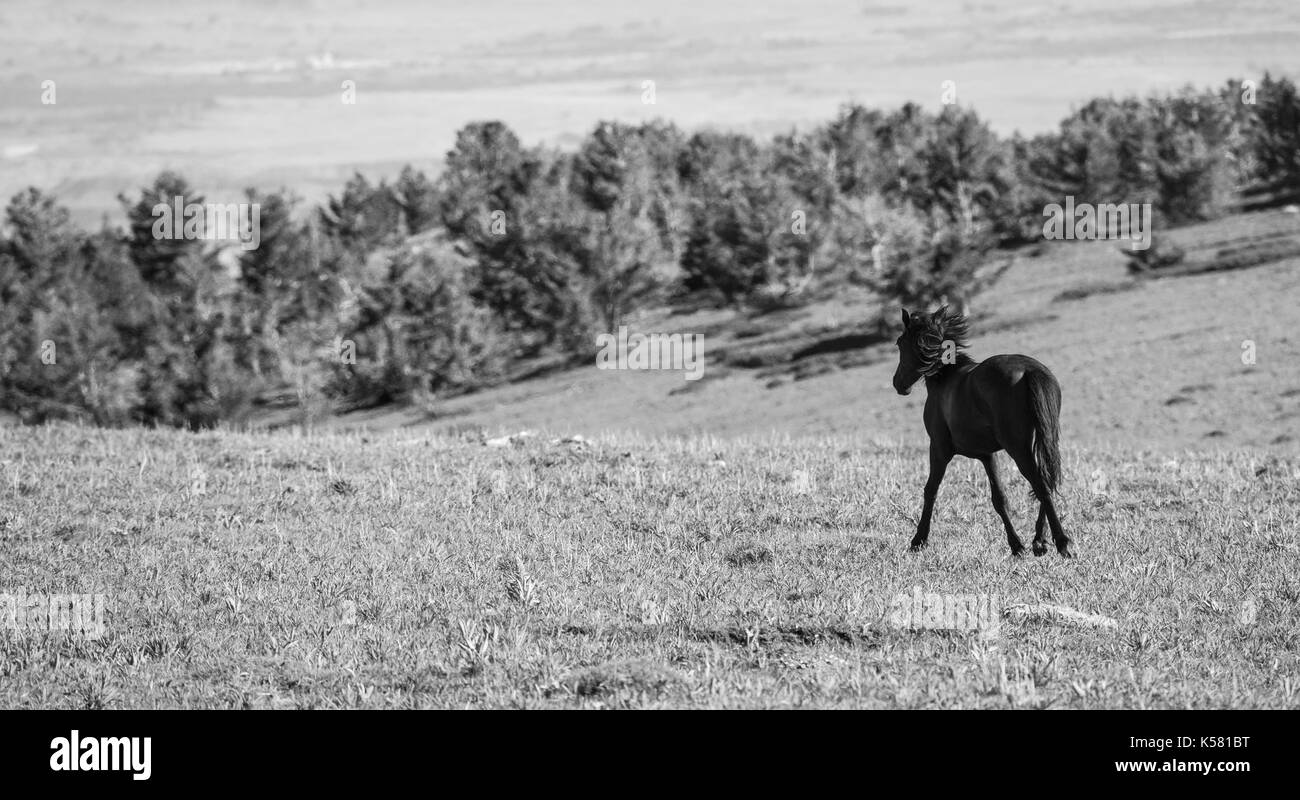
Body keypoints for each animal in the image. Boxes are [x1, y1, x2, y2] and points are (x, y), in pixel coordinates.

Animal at [892, 306, 1073, 558]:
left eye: (900, 343)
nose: (898, 383)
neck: (945, 379)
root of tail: (1030, 371)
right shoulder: (988, 455)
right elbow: (999, 499)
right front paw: (1016, 545)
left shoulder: (938, 449)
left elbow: (930, 490)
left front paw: (918, 540)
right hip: (1042, 439)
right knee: (1046, 478)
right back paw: (1039, 541)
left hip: (1018, 448)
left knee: (1041, 485)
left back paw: (1061, 542)